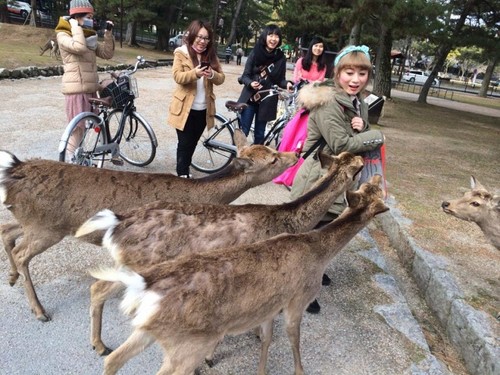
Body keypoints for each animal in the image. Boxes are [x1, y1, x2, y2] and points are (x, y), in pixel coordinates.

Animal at [0, 129, 296, 324]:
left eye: (271, 150)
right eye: (273, 159)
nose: (295, 154)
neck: (207, 197)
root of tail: (15, 170)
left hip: (34, 221)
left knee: (7, 230)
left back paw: (12, 277)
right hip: (46, 227)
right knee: (21, 252)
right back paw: (40, 311)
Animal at [75, 152, 364, 356]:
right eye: (358, 171)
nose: (297, 153)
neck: (286, 220)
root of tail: (116, 222)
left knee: (97, 286)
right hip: (138, 266)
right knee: (98, 288)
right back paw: (100, 346)